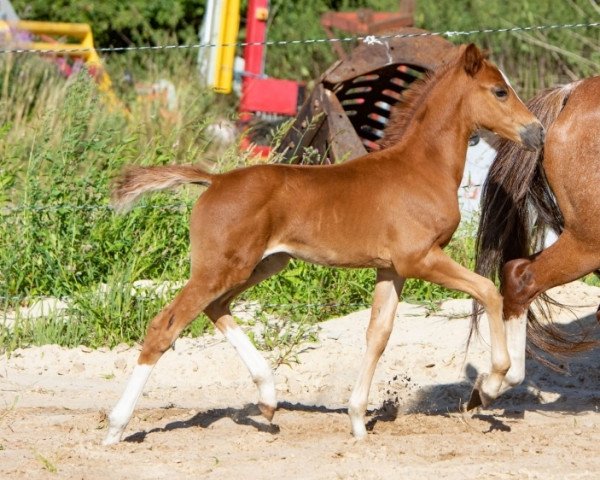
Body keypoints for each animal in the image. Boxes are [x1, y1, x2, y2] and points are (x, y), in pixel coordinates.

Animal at [103, 43, 544, 444]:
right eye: (499, 91)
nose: (537, 131)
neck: (421, 168)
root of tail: (215, 180)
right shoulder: (419, 259)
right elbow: (488, 290)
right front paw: (491, 385)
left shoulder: (390, 268)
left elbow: (378, 334)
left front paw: (357, 421)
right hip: (222, 267)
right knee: (165, 326)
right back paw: (117, 427)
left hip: (262, 263)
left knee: (216, 307)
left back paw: (268, 398)